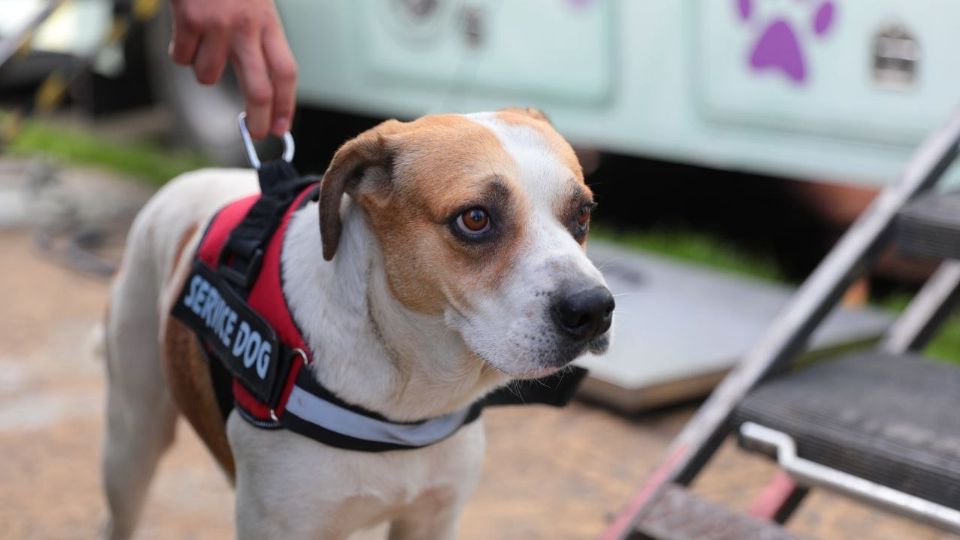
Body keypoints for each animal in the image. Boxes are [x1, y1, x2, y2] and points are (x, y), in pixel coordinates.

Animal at [103, 109, 616, 540]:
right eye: (474, 219)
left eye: (583, 214)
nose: (594, 309)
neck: (406, 400)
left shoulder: (433, 517)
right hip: (131, 447)